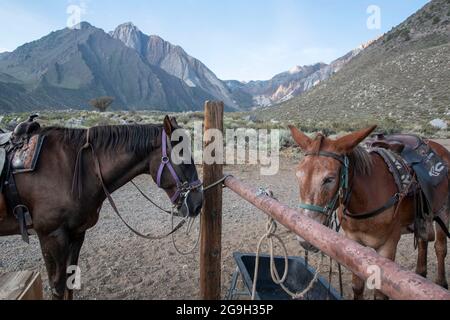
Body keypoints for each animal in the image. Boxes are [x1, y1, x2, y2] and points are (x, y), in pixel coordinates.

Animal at [0, 116, 202, 298]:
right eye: (182, 155)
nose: (198, 203)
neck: (73, 167)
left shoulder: (76, 234)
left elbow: (70, 281)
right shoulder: (51, 237)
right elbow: (58, 288)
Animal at [290, 125, 448, 300]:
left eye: (329, 179)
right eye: (298, 175)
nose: (304, 237)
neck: (365, 201)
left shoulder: (387, 247)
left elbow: (380, 294)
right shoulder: (353, 242)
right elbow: (357, 286)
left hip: (443, 212)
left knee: (440, 248)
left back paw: (441, 282)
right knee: (422, 241)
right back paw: (420, 273)